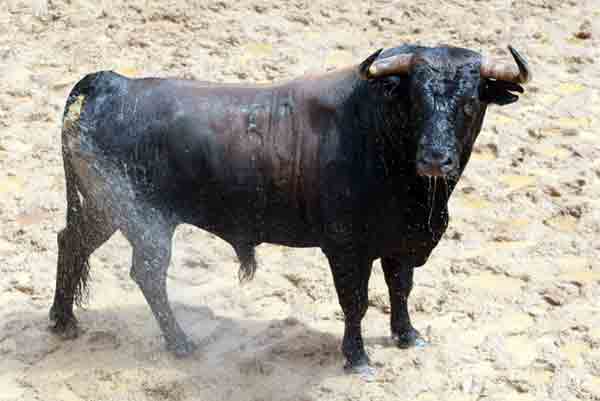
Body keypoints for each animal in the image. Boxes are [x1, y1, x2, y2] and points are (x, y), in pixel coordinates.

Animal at [51, 43, 528, 372]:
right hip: (142, 219)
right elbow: (356, 302)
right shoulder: (346, 249)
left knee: (71, 242)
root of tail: (111, 83)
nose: (435, 158)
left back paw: (63, 320)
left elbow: (400, 288)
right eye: (414, 100)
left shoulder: (399, 244)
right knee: (147, 272)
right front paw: (356, 358)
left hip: (104, 208)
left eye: (470, 102)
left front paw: (407, 335)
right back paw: (180, 343)